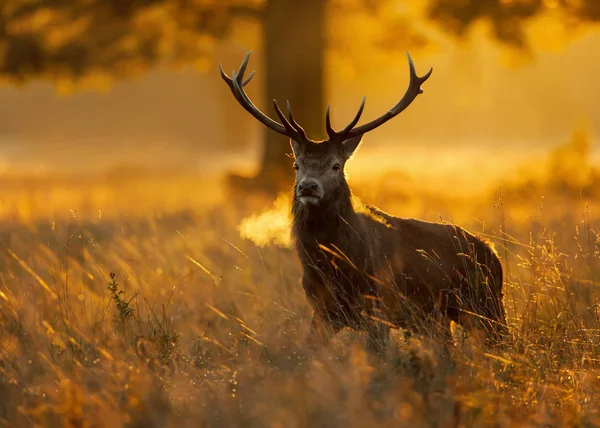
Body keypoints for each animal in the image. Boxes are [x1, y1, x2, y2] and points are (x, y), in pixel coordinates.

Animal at [218, 51, 508, 352]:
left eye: (335, 165)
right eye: (297, 165)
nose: (308, 187)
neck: (336, 267)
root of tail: (493, 252)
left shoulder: (378, 306)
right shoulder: (322, 309)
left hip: (488, 305)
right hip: (442, 317)